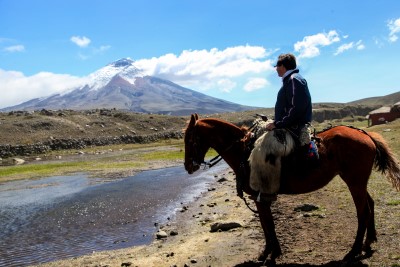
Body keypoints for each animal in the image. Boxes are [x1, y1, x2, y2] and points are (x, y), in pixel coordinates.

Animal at [184, 112, 400, 264]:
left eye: (190, 139)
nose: (188, 167)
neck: (243, 152)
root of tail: (366, 134)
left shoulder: (260, 197)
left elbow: (268, 225)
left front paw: (270, 254)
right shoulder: (260, 198)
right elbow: (266, 225)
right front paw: (270, 252)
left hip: (354, 181)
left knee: (362, 212)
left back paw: (353, 251)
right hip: (359, 182)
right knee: (370, 205)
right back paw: (368, 243)